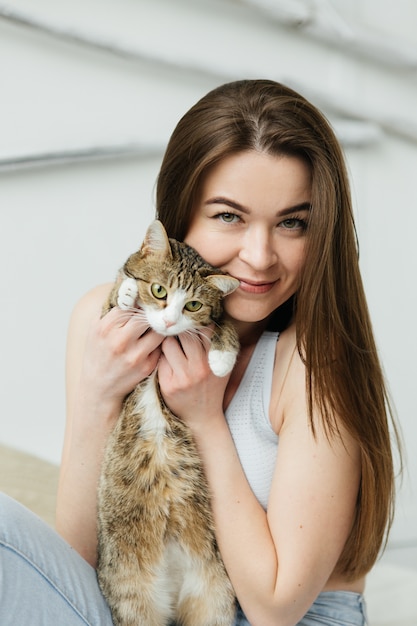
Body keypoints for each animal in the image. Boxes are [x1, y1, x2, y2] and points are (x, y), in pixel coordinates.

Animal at [96, 219, 237, 624]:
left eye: (193, 304)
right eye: (159, 291)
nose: (171, 319)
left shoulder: (215, 319)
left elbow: (226, 323)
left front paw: (221, 357)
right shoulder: (103, 321)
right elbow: (112, 300)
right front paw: (127, 292)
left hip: (215, 601)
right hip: (133, 600)